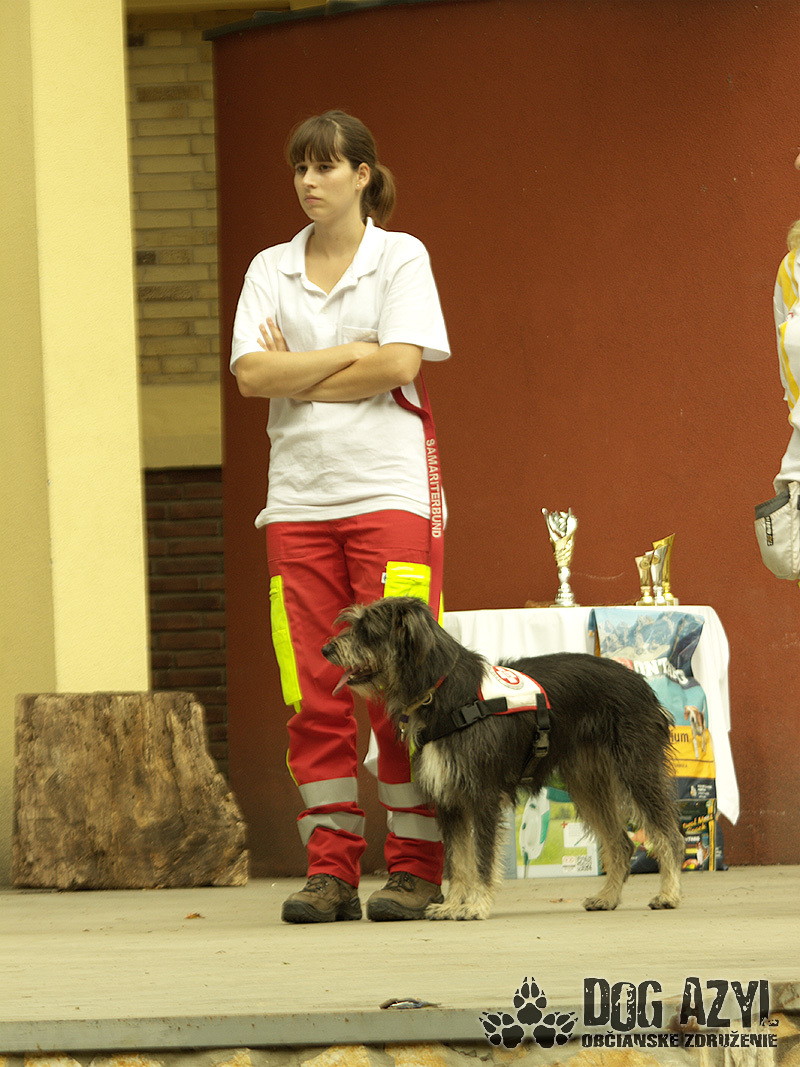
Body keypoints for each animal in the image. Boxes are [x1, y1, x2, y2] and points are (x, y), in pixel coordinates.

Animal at [322, 596, 683, 920]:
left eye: (368, 630)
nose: (326, 650)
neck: (442, 691)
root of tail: (640, 681)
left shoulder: (482, 795)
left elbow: (482, 858)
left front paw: (477, 905)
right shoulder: (449, 800)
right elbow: (458, 862)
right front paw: (454, 904)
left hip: (637, 770)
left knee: (670, 835)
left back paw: (669, 893)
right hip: (587, 782)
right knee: (621, 844)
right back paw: (608, 897)